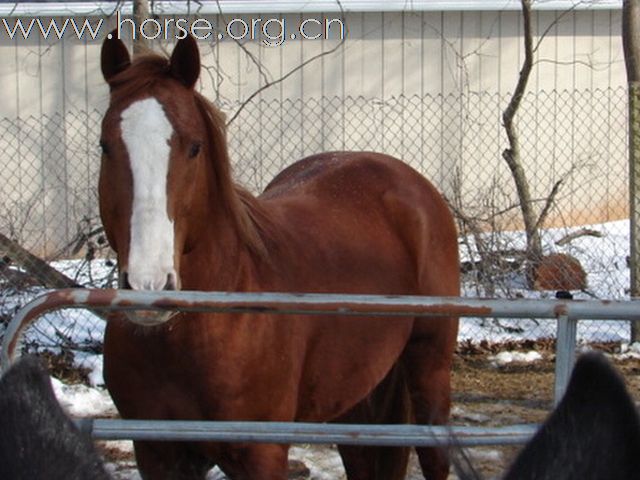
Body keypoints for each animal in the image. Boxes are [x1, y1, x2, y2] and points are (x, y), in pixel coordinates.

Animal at [99, 34, 460, 480]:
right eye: (105, 146)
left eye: (194, 147)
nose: (148, 285)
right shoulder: (157, 454)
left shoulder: (262, 454)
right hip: (354, 398)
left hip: (429, 370)